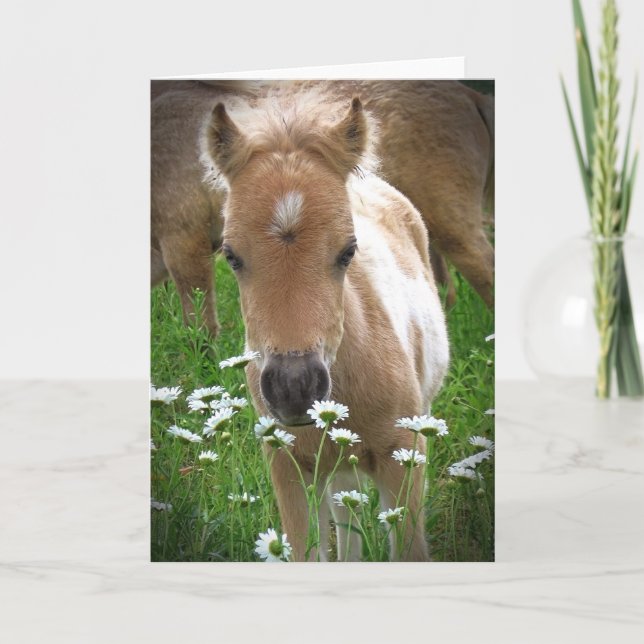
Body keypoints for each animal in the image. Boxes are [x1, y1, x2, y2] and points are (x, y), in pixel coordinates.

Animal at [203, 91, 449, 561]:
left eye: (348, 251)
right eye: (231, 255)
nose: (294, 388)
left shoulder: (405, 453)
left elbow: (410, 549)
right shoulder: (286, 464)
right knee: (344, 509)